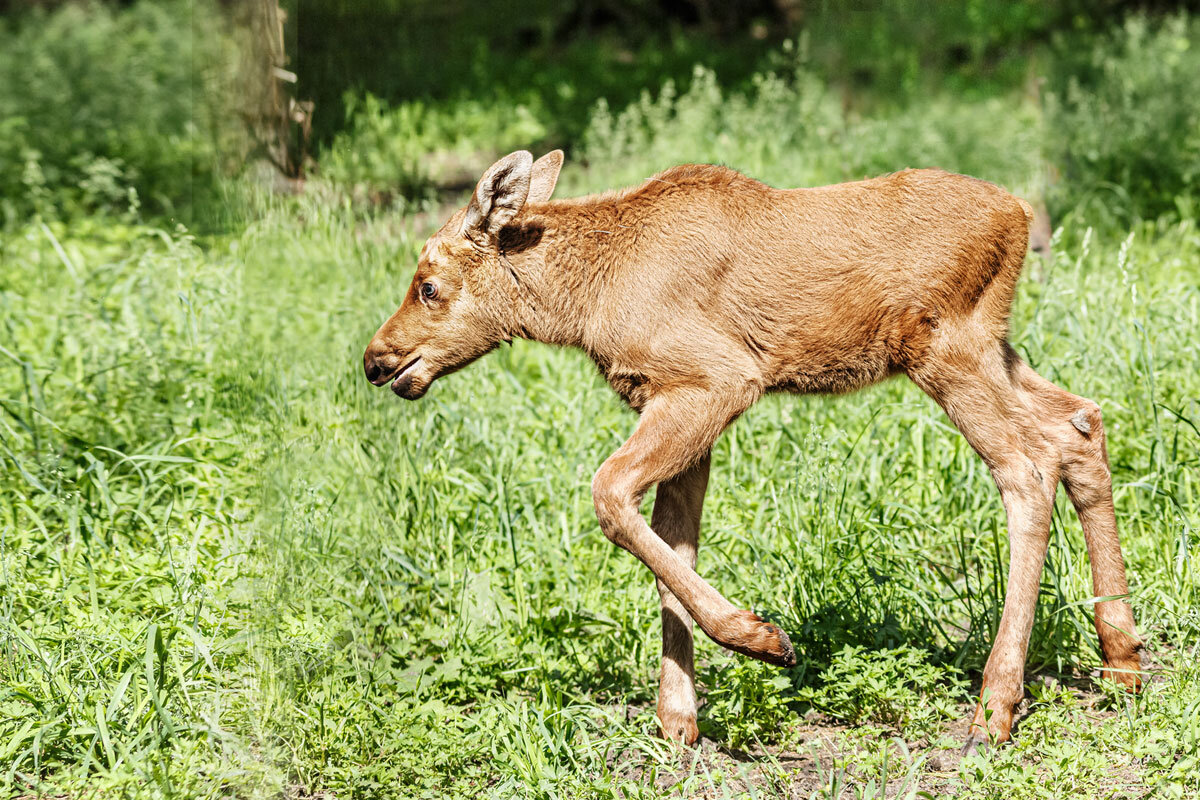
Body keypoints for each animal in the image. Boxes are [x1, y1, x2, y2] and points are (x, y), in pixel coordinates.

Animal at [363, 150, 1143, 753]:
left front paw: (760, 640)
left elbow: (610, 495)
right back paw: (1123, 660)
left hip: (946, 348)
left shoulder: (717, 380)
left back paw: (997, 704)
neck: (582, 303)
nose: (376, 360)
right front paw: (678, 720)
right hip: (993, 348)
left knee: (1025, 470)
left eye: (428, 286)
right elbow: (673, 545)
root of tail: (1020, 217)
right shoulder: (673, 401)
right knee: (1078, 423)